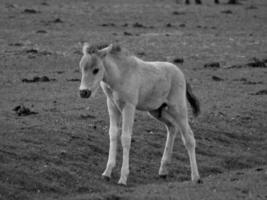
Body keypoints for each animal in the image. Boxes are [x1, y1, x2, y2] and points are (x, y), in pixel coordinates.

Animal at [78, 42, 202, 186]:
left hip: (178, 108)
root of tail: (181, 74)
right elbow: (113, 134)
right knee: (172, 128)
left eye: (96, 69)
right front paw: (107, 173)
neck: (120, 75)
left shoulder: (129, 107)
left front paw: (123, 178)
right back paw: (163, 171)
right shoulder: (112, 106)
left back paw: (196, 177)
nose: (84, 92)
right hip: (156, 111)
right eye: (82, 68)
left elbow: (125, 137)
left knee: (189, 137)